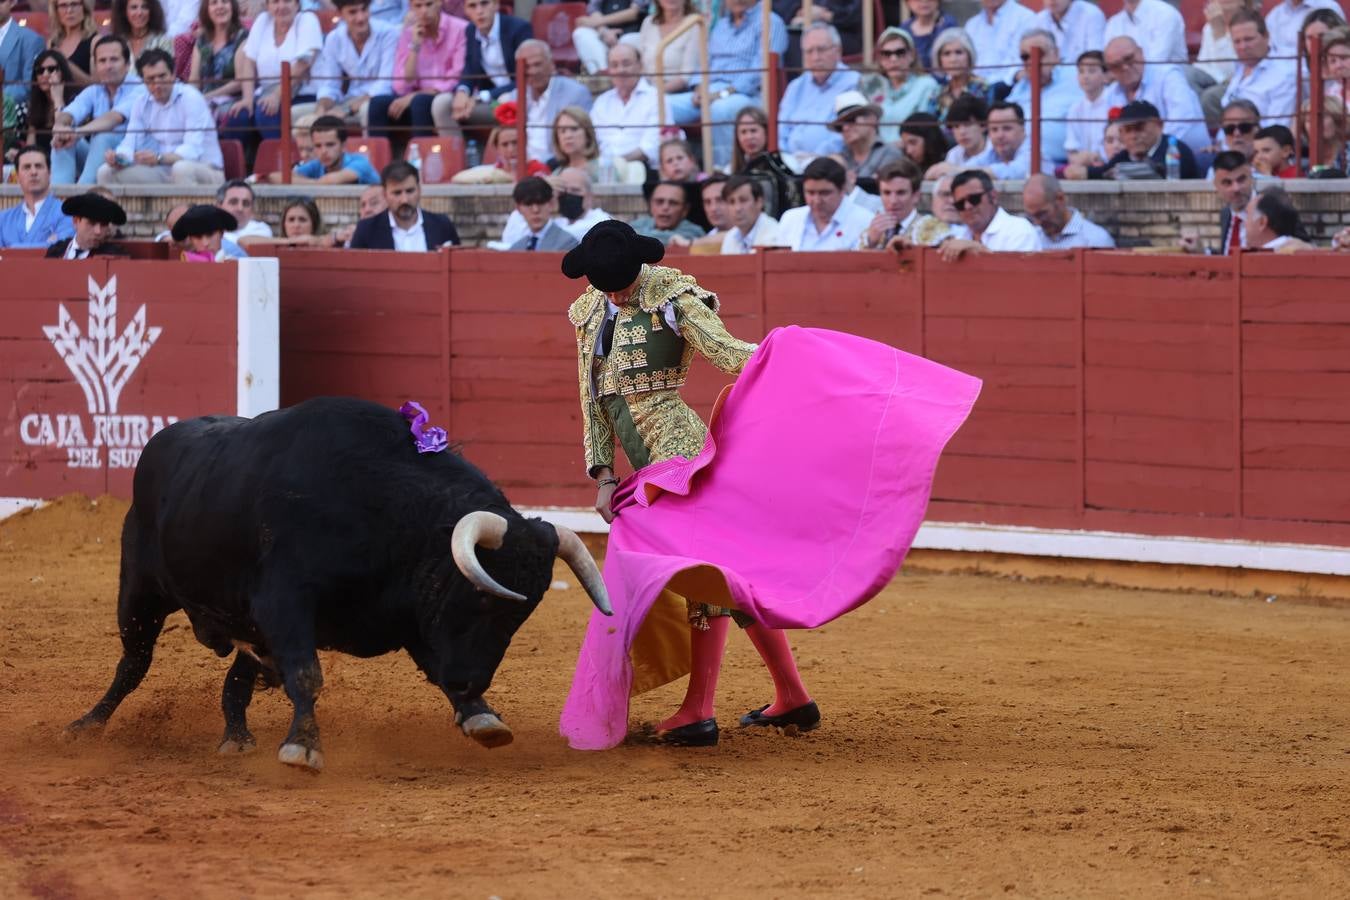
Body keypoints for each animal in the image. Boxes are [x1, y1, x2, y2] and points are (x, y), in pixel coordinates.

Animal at [64, 399, 612, 777]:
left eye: (523, 613)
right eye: (480, 595)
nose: (471, 682)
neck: (390, 514)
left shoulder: (409, 616)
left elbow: (433, 668)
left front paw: (481, 717)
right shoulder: (284, 603)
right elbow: (308, 675)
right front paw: (303, 748)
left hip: (243, 624)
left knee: (238, 675)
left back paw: (237, 736)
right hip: (139, 590)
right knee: (134, 663)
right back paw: (86, 726)